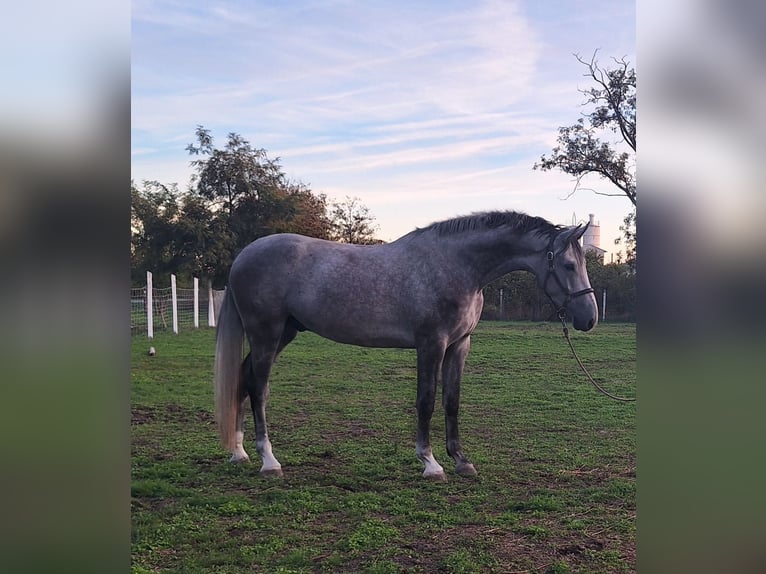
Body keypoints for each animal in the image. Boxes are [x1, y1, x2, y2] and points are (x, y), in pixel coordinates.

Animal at [213, 212, 596, 482]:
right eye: (568, 265)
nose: (589, 318)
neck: (457, 265)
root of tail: (243, 256)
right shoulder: (431, 344)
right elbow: (426, 401)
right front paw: (430, 463)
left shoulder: (459, 345)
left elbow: (452, 402)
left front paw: (462, 461)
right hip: (266, 334)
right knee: (259, 388)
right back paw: (269, 461)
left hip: (283, 334)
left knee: (243, 380)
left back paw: (239, 452)